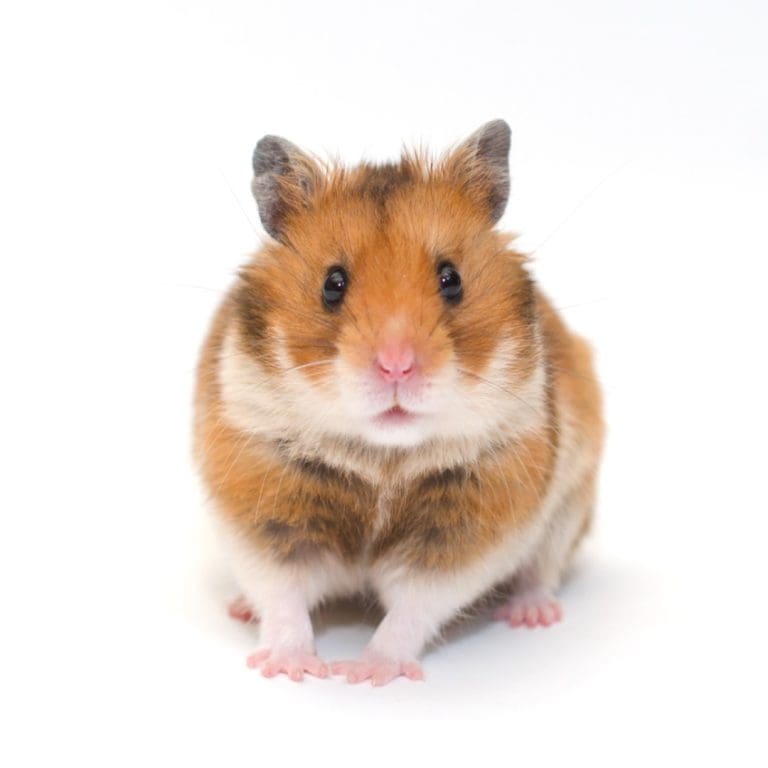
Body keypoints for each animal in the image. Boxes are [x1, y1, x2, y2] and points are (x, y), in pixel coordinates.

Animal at [194, 120, 603, 685]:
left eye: (451, 279)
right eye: (332, 284)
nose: (396, 366)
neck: (381, 457)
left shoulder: (465, 531)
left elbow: (412, 609)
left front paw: (365, 672)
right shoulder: (262, 509)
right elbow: (282, 597)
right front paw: (290, 668)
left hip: (571, 506)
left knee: (542, 570)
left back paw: (533, 614)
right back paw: (239, 608)